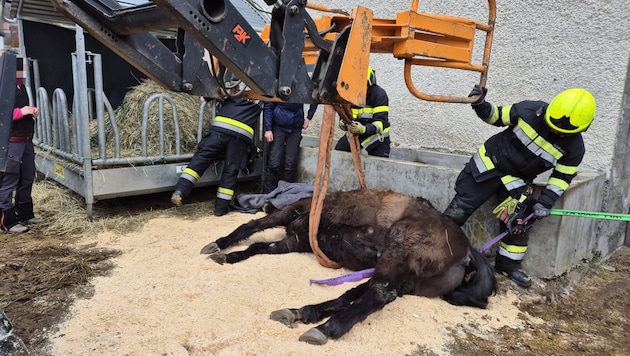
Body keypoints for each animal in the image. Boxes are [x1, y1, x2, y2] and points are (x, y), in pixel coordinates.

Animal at [202, 188, 498, 344]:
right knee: (357, 294)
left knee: (378, 293)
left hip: (398, 249)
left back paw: (325, 328)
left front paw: (219, 245)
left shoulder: (288, 218)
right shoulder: (294, 241)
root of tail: (466, 253)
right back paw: (302, 312)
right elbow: (257, 247)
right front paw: (230, 256)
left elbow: (250, 226)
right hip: (405, 278)